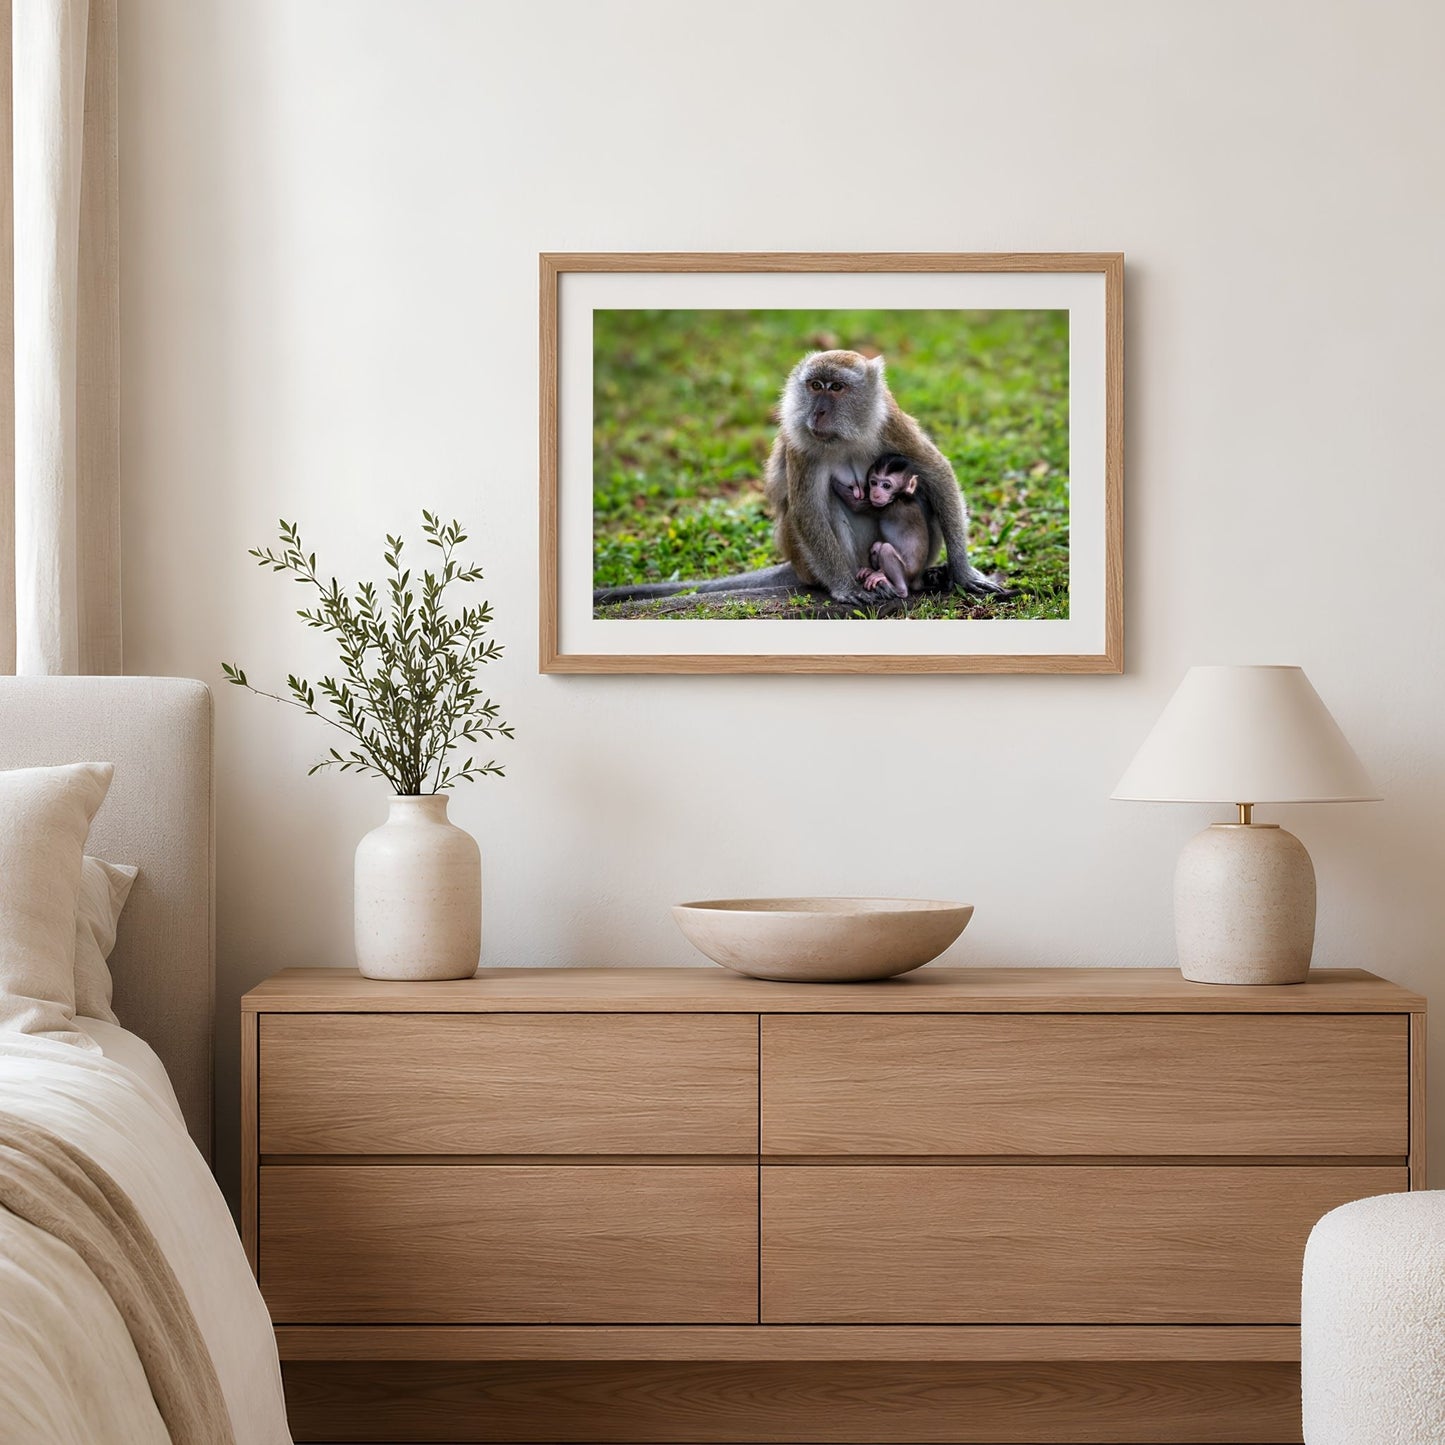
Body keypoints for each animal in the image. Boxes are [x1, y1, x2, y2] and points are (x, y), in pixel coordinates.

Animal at [855, 454, 934, 600]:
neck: (902, 496)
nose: (875, 494)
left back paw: (899, 589)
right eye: (873, 483)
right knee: (877, 546)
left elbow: (856, 505)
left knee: (886, 549)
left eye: (886, 486)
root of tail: (916, 579)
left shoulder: (890, 507)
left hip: (907, 574)